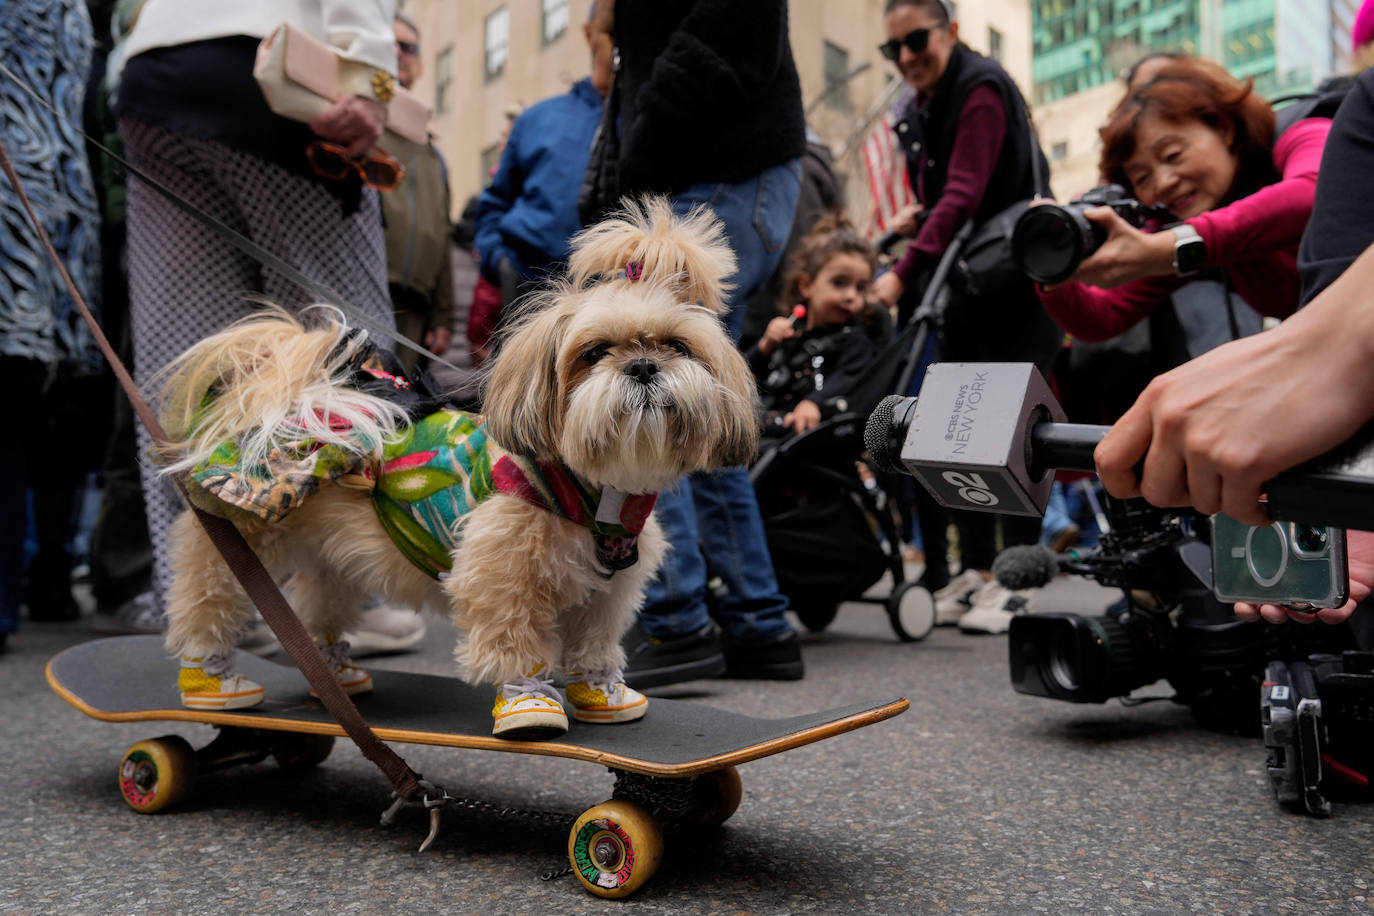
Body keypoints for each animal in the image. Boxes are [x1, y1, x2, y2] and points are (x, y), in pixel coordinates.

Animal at [160, 199, 763, 736]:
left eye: (677, 346)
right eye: (593, 353)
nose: (642, 366)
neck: (594, 485)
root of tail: (289, 400)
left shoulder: (609, 587)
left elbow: (594, 639)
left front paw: (600, 690)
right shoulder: (502, 574)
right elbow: (515, 641)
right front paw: (528, 702)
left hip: (332, 556)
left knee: (318, 609)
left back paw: (334, 675)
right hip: (236, 546)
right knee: (207, 604)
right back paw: (211, 682)